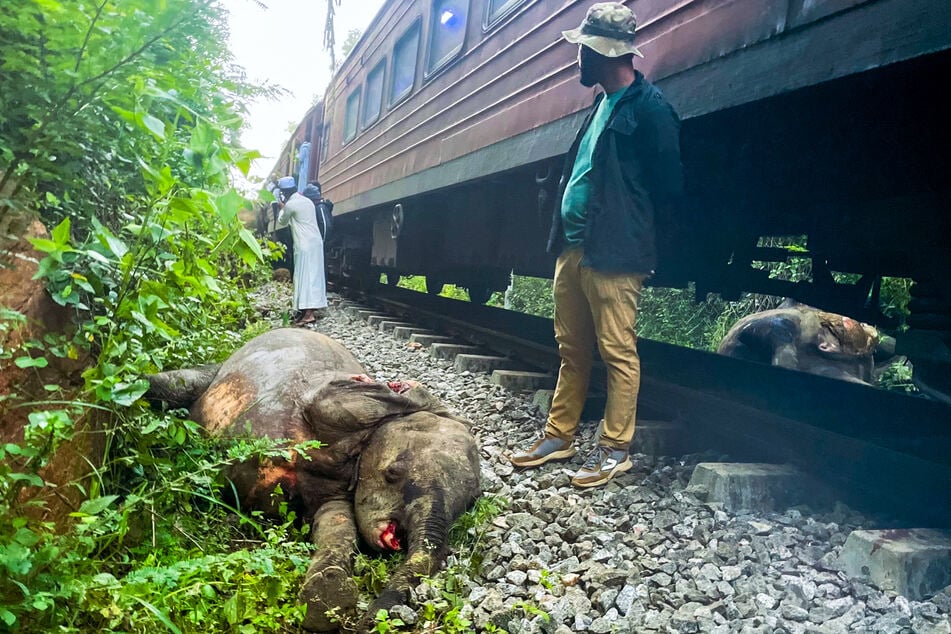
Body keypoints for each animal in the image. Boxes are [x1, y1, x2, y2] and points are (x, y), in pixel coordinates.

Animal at [144, 328, 480, 628]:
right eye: (392, 474)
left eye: (471, 504)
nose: (369, 622)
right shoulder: (334, 399)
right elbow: (338, 403)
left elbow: (337, 521)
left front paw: (326, 594)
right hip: (218, 370)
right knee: (175, 384)